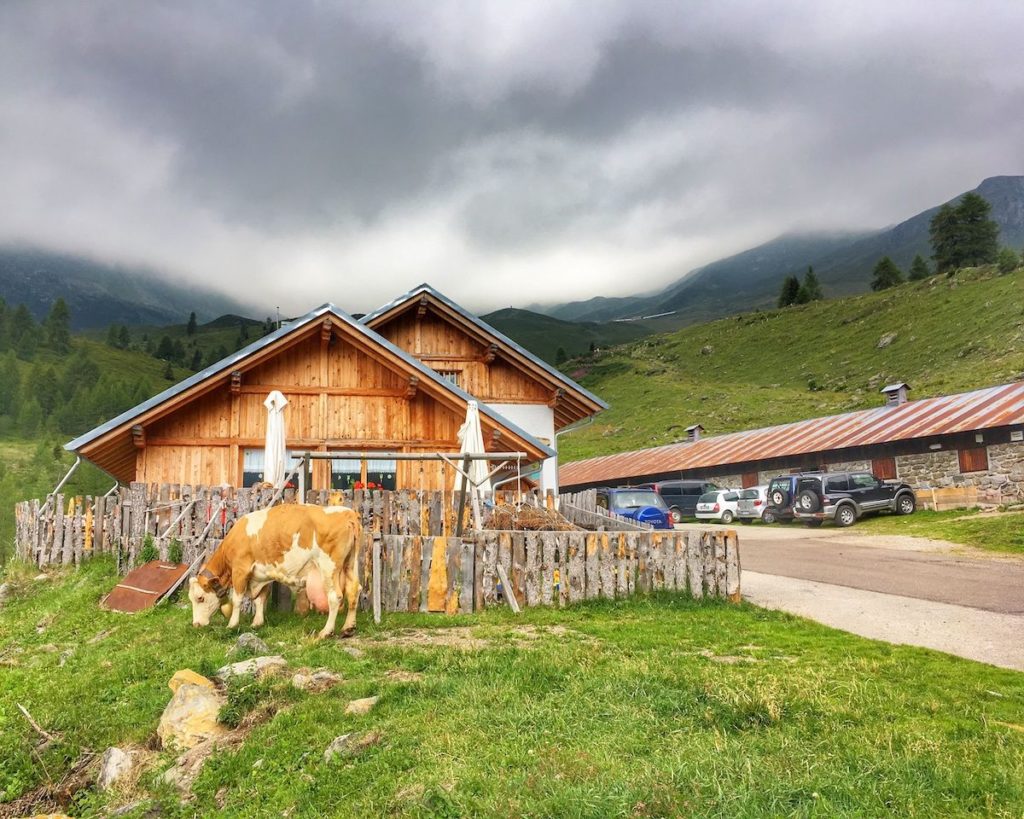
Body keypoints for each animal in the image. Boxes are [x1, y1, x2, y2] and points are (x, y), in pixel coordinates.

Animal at [190, 505, 362, 638]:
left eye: (200, 598)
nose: (196, 624)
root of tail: (348, 513)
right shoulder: (261, 574)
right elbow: (260, 598)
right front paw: (257, 622)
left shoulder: (240, 570)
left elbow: (237, 600)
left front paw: (232, 625)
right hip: (350, 564)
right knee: (353, 590)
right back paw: (348, 628)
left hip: (328, 567)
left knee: (335, 597)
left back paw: (326, 631)